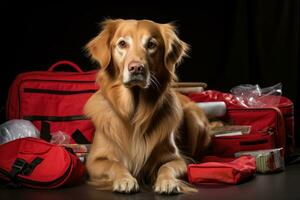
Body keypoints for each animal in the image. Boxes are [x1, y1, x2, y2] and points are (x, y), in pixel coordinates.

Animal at [84, 18, 211, 194]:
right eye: (122, 43)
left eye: (151, 44)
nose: (136, 68)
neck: (135, 114)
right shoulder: (93, 161)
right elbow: (114, 164)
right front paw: (125, 179)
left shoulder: (178, 159)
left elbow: (167, 167)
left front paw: (167, 182)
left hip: (194, 118)